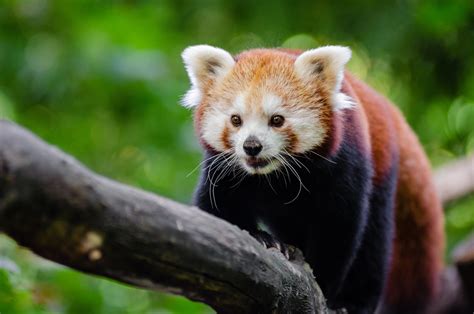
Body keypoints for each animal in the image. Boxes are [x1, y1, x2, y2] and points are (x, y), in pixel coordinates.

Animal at [181, 44, 444, 314]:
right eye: (236, 119)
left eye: (277, 119)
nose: (251, 146)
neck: (272, 177)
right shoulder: (222, 169)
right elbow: (216, 211)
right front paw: (259, 237)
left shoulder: (345, 162)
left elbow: (338, 227)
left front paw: (323, 286)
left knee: (374, 242)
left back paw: (355, 302)